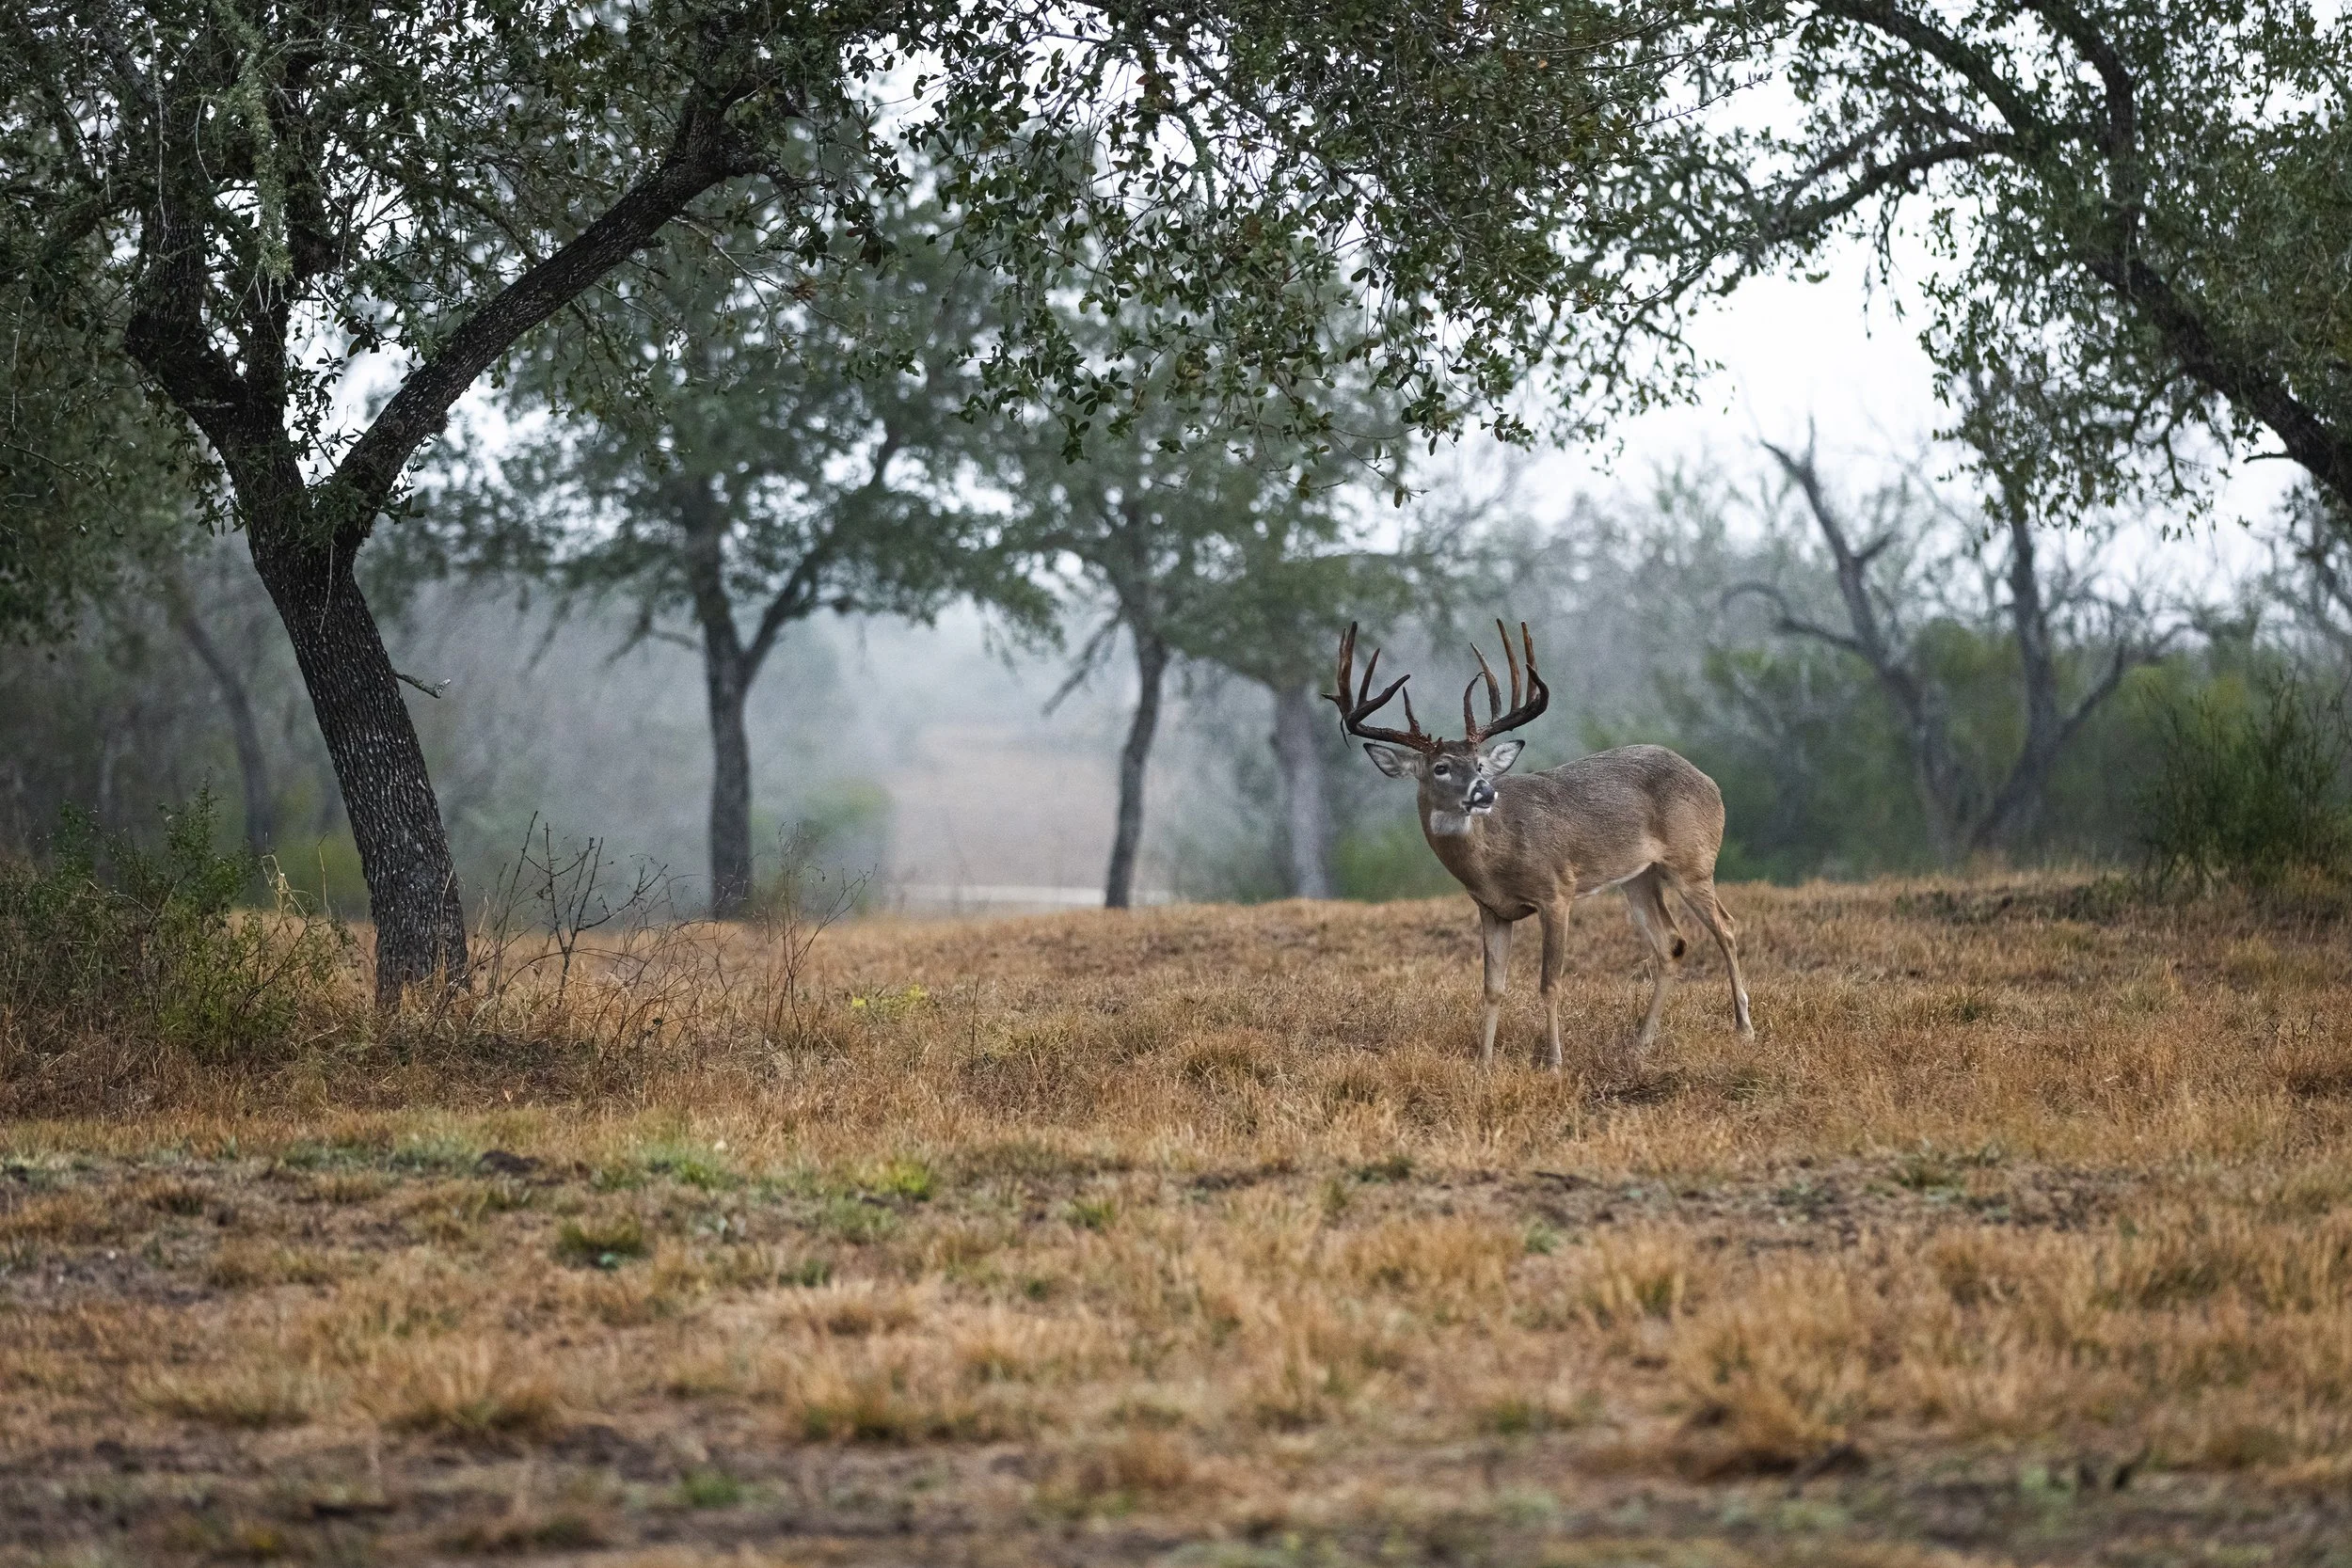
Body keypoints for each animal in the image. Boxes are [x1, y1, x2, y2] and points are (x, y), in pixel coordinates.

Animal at [1327, 621, 1753, 1071]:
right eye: (1441, 768)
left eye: (1480, 765)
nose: (1485, 792)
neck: (1495, 859)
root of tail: (1709, 782)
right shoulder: (1492, 909)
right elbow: (1493, 987)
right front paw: (1484, 1064)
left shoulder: (1556, 892)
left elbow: (1550, 983)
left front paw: (1554, 1062)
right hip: (1639, 876)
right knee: (1670, 943)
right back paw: (1641, 1042)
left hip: (1693, 861)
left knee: (1726, 925)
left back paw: (1744, 1028)